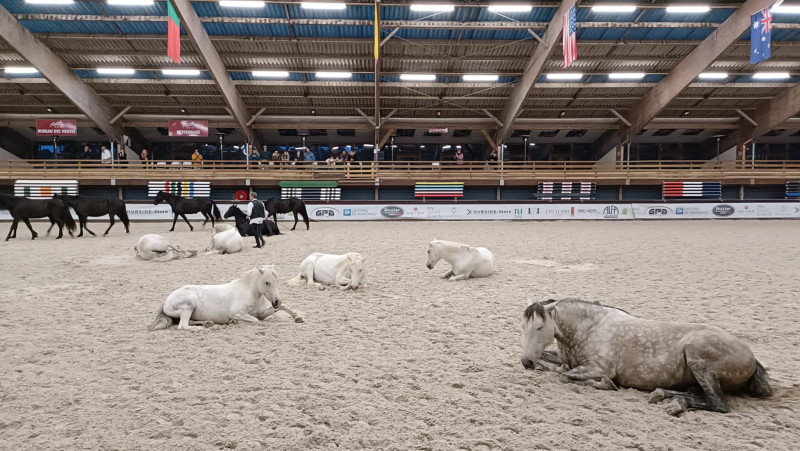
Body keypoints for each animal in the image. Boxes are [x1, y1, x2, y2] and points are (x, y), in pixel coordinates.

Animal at [150, 264, 304, 332]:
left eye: (277, 281)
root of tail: (166, 300)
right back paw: (204, 328)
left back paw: (208, 323)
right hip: (188, 305)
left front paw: (298, 317)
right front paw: (235, 322)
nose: (277, 301)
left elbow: (282, 308)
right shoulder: (237, 313)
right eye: (267, 282)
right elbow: (255, 321)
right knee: (183, 326)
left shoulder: (262, 313)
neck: (249, 293)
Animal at [520, 300, 772, 416]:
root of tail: (751, 357)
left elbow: (565, 375)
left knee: (719, 404)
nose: (526, 362)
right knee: (696, 393)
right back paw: (666, 397)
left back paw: (674, 402)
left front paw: (606, 384)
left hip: (698, 360)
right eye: (523, 326)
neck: (589, 328)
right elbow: (555, 365)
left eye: (540, 327)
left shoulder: (599, 368)